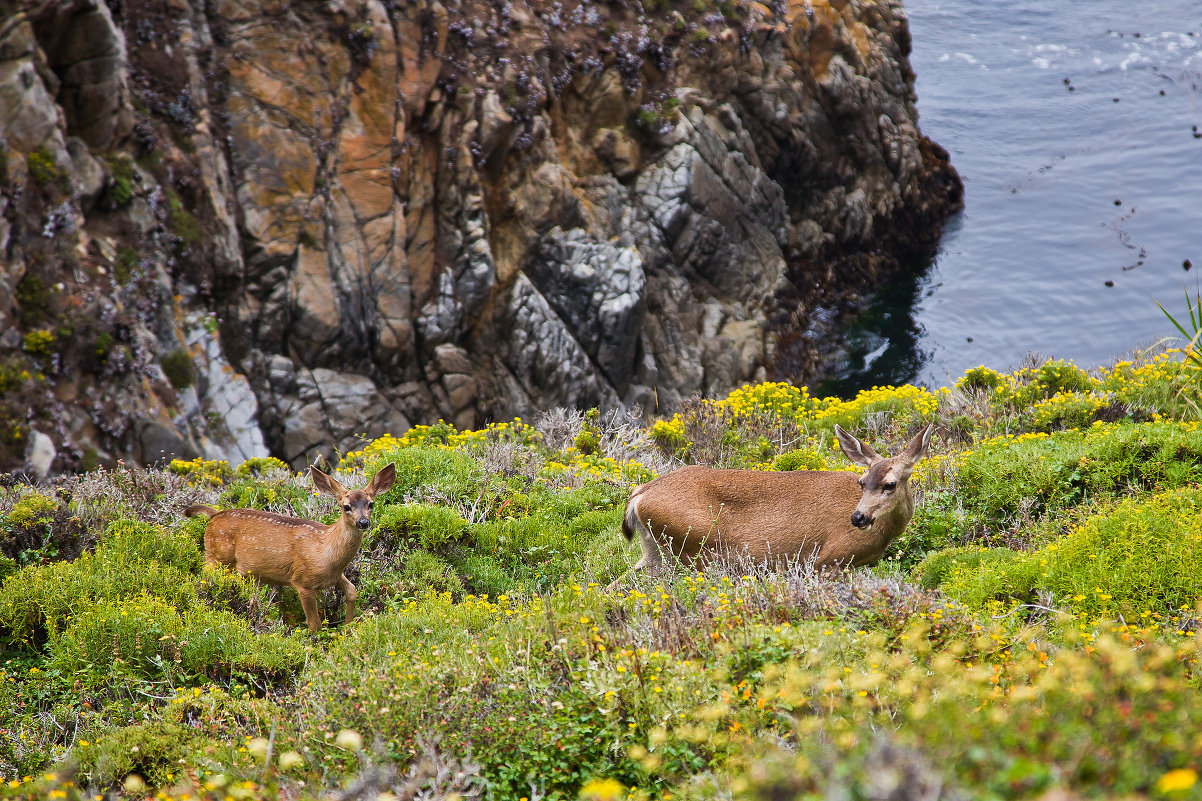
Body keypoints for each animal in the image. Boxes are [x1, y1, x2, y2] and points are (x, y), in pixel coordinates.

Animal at [185, 461, 396, 630]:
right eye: (346, 507)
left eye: (371, 504)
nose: (363, 522)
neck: (326, 551)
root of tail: (213, 515)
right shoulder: (302, 580)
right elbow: (314, 624)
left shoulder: (334, 575)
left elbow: (352, 591)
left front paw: (348, 627)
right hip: (216, 557)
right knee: (201, 581)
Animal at [620, 420, 937, 577]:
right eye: (862, 482)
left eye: (889, 484)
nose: (857, 517)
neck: (883, 533)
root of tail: (639, 496)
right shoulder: (829, 559)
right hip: (695, 548)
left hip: (655, 550)